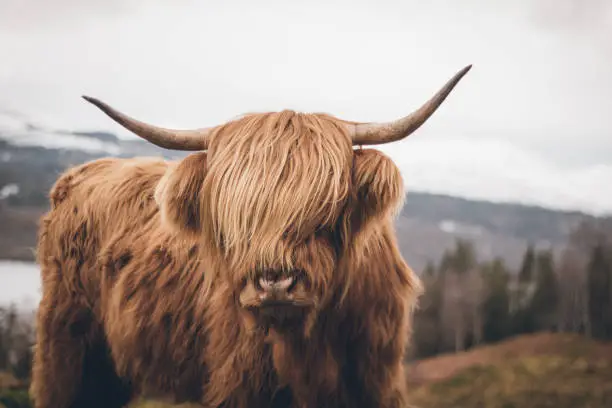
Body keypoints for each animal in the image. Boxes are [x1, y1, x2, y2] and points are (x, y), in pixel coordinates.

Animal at [31, 65, 474, 406]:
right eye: (234, 219)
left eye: (326, 210)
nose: (274, 283)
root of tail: (79, 175)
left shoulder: (376, 381)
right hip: (67, 348)